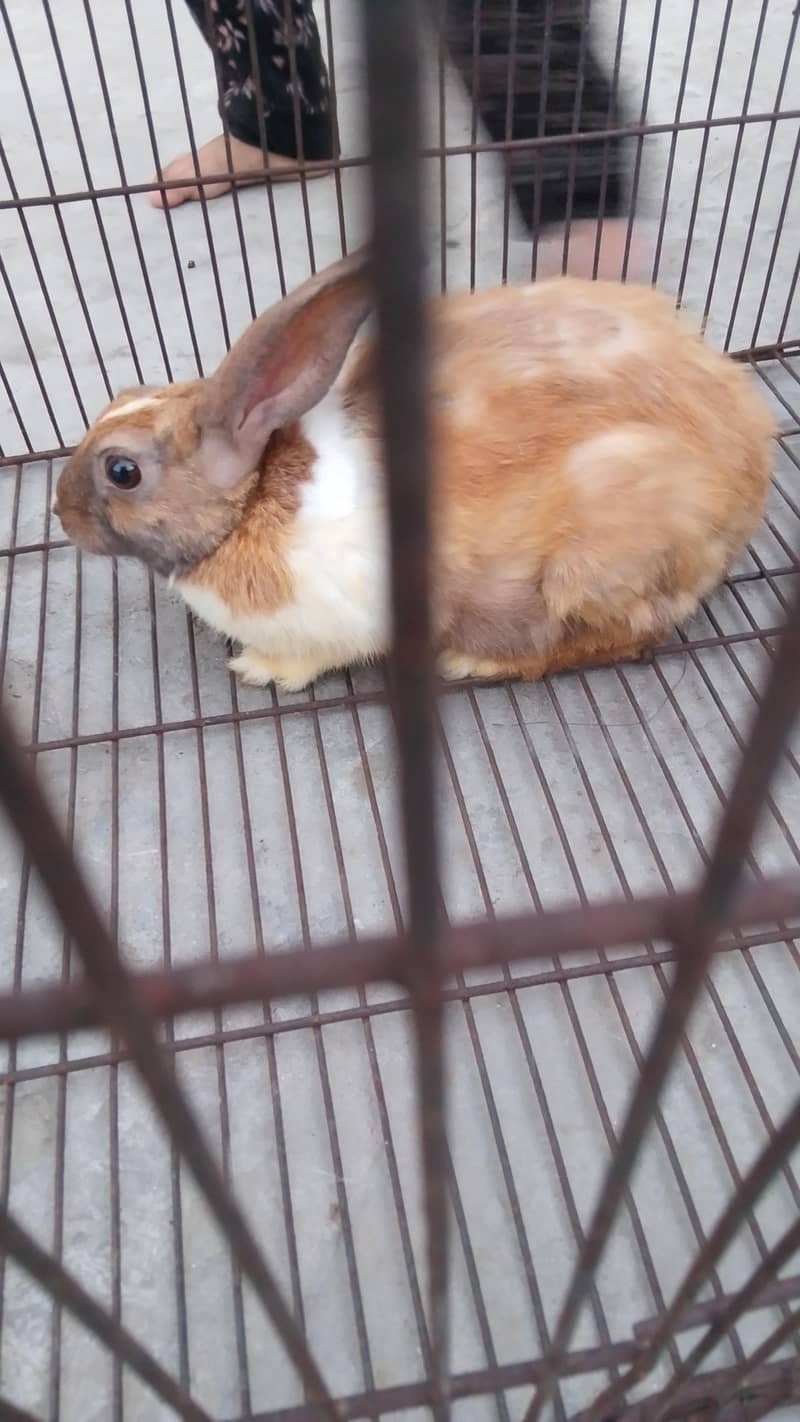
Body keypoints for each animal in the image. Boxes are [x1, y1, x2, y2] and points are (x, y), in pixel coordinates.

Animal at [54, 248, 774, 693]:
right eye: (119, 394)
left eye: (122, 472)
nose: (60, 513)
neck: (253, 502)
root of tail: (753, 457)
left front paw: (259, 668)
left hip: (600, 558)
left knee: (622, 638)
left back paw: (474, 660)